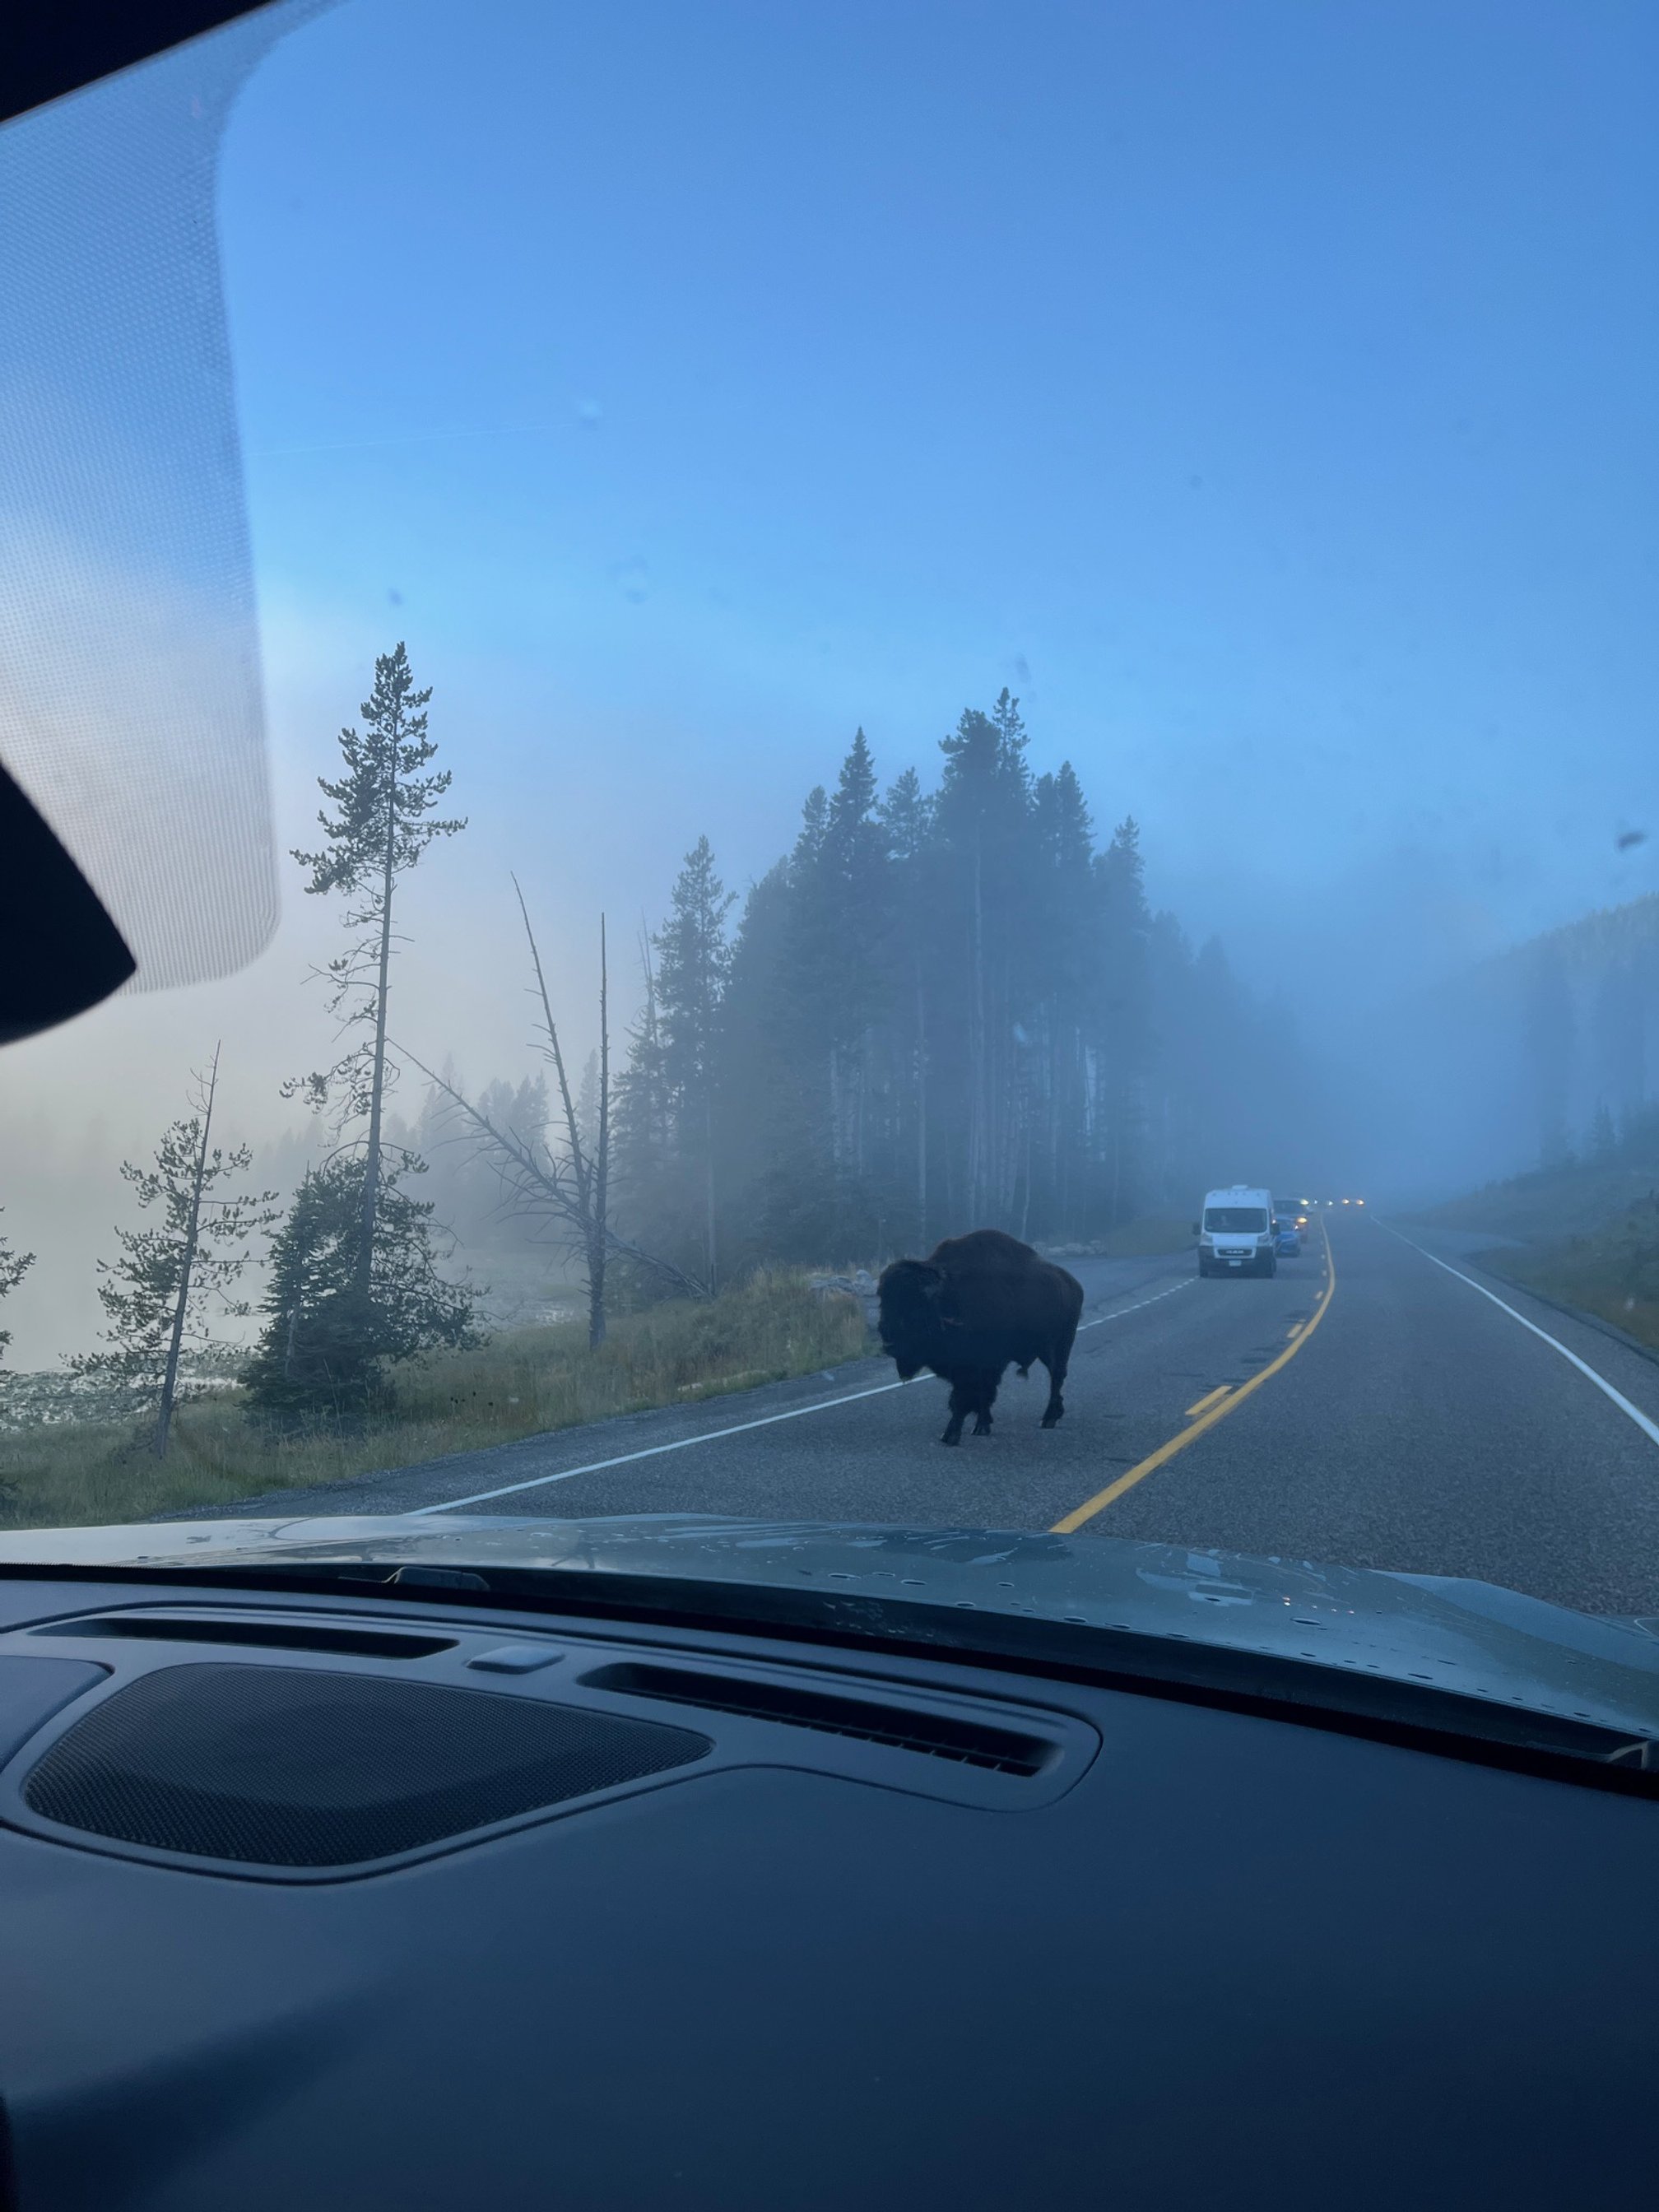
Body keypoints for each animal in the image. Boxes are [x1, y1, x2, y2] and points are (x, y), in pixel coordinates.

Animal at [877, 1229, 1085, 1445]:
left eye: (915, 1307)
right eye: (883, 1302)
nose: (889, 1343)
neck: (949, 1297)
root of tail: (1073, 1285)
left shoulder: (976, 1365)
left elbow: (964, 1398)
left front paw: (950, 1435)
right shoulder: (979, 1367)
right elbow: (982, 1394)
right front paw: (981, 1426)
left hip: (1060, 1346)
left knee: (1057, 1377)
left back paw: (1049, 1419)